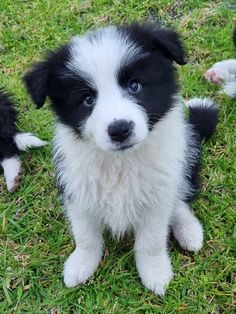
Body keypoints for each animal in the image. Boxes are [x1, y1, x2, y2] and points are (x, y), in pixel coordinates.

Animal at [23, 23, 218, 294]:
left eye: (134, 86)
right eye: (87, 100)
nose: (120, 129)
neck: (120, 162)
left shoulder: (157, 195)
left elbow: (151, 240)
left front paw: (155, 272)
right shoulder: (77, 188)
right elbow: (85, 234)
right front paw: (81, 264)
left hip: (186, 157)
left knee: (179, 199)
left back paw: (189, 231)